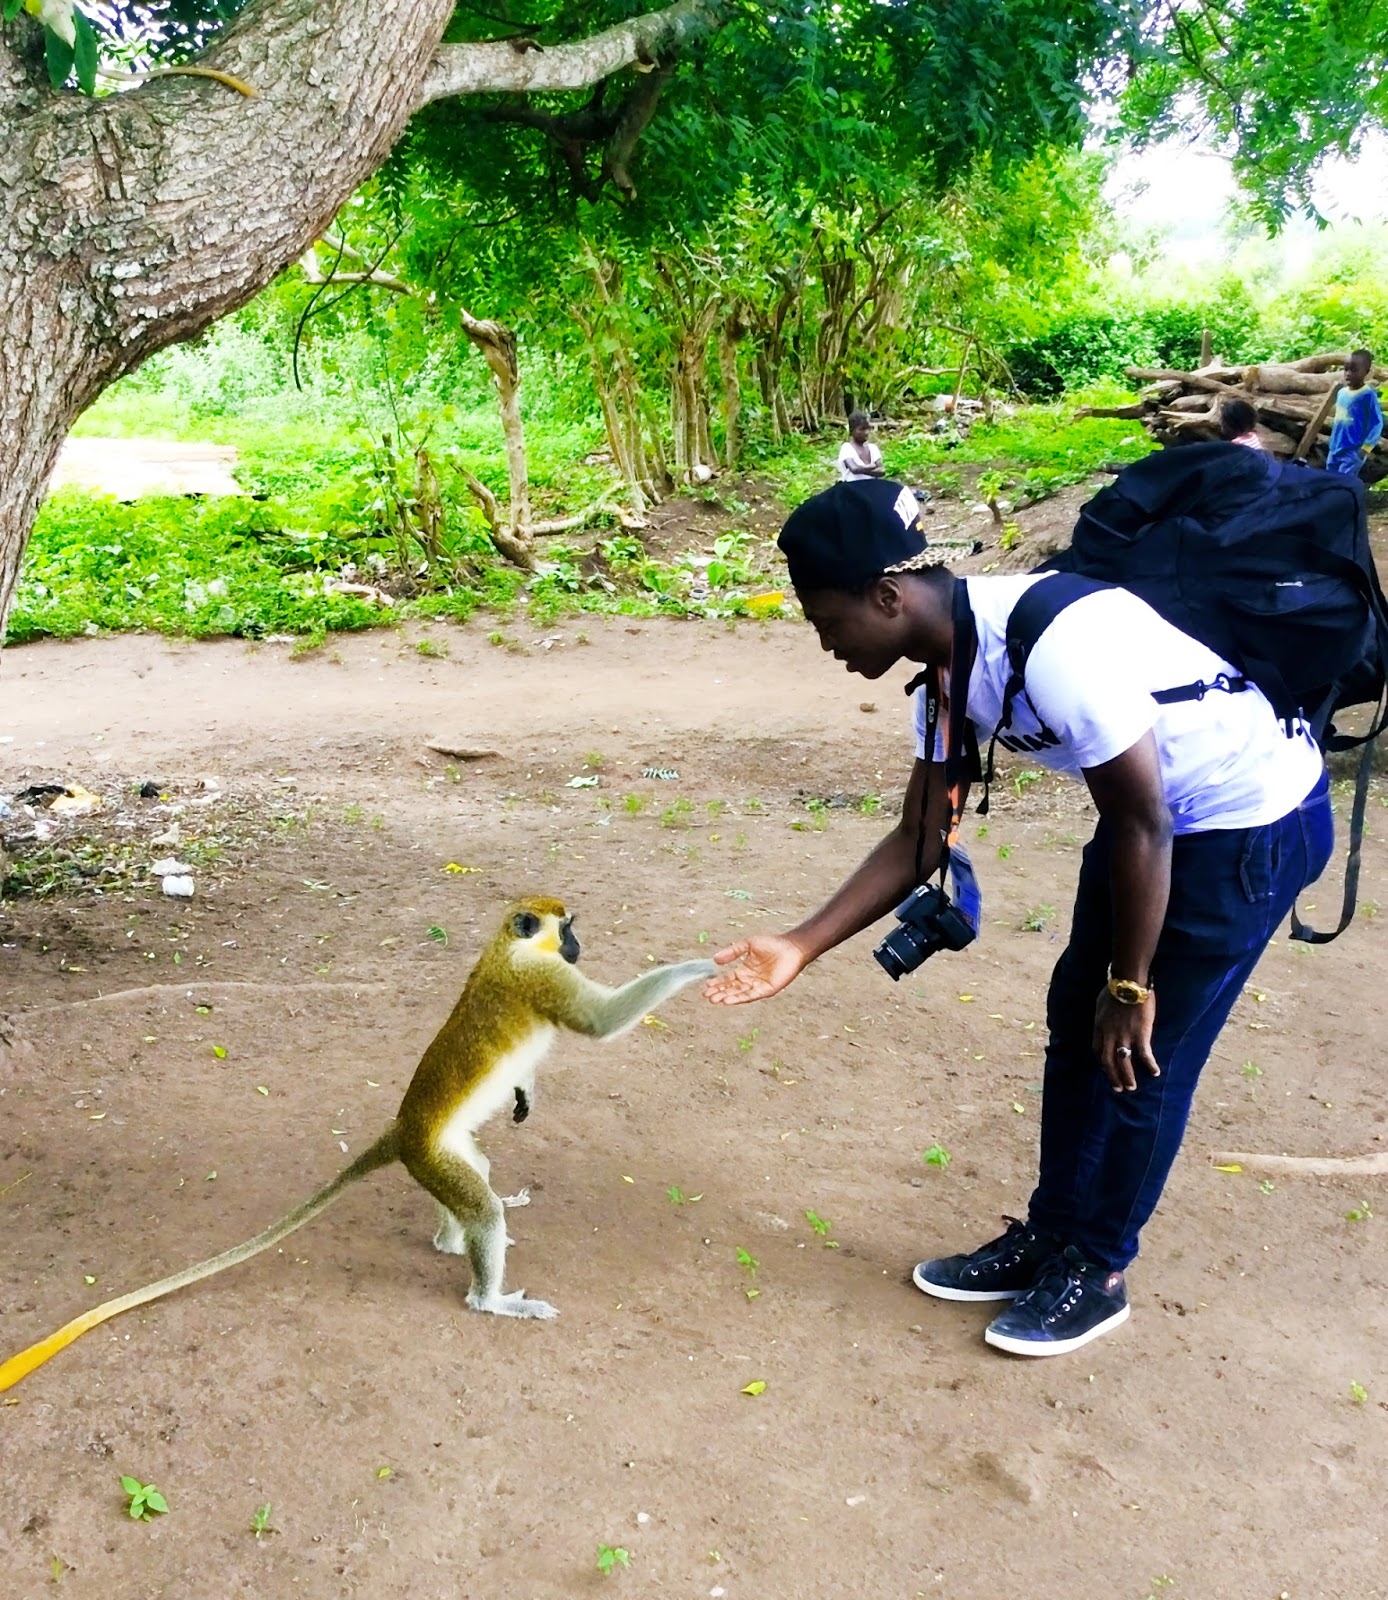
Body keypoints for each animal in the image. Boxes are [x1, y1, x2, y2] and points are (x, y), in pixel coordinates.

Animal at [0, 899, 715, 1392]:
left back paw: (453, 1239)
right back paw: (487, 1292)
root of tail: (403, 1131)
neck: (504, 948)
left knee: (475, 1179)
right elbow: (600, 1021)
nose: (579, 943)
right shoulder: (541, 978)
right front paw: (706, 964)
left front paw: (524, 1094)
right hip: (434, 1156)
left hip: (440, 1155)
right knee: (480, 1211)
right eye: (564, 930)